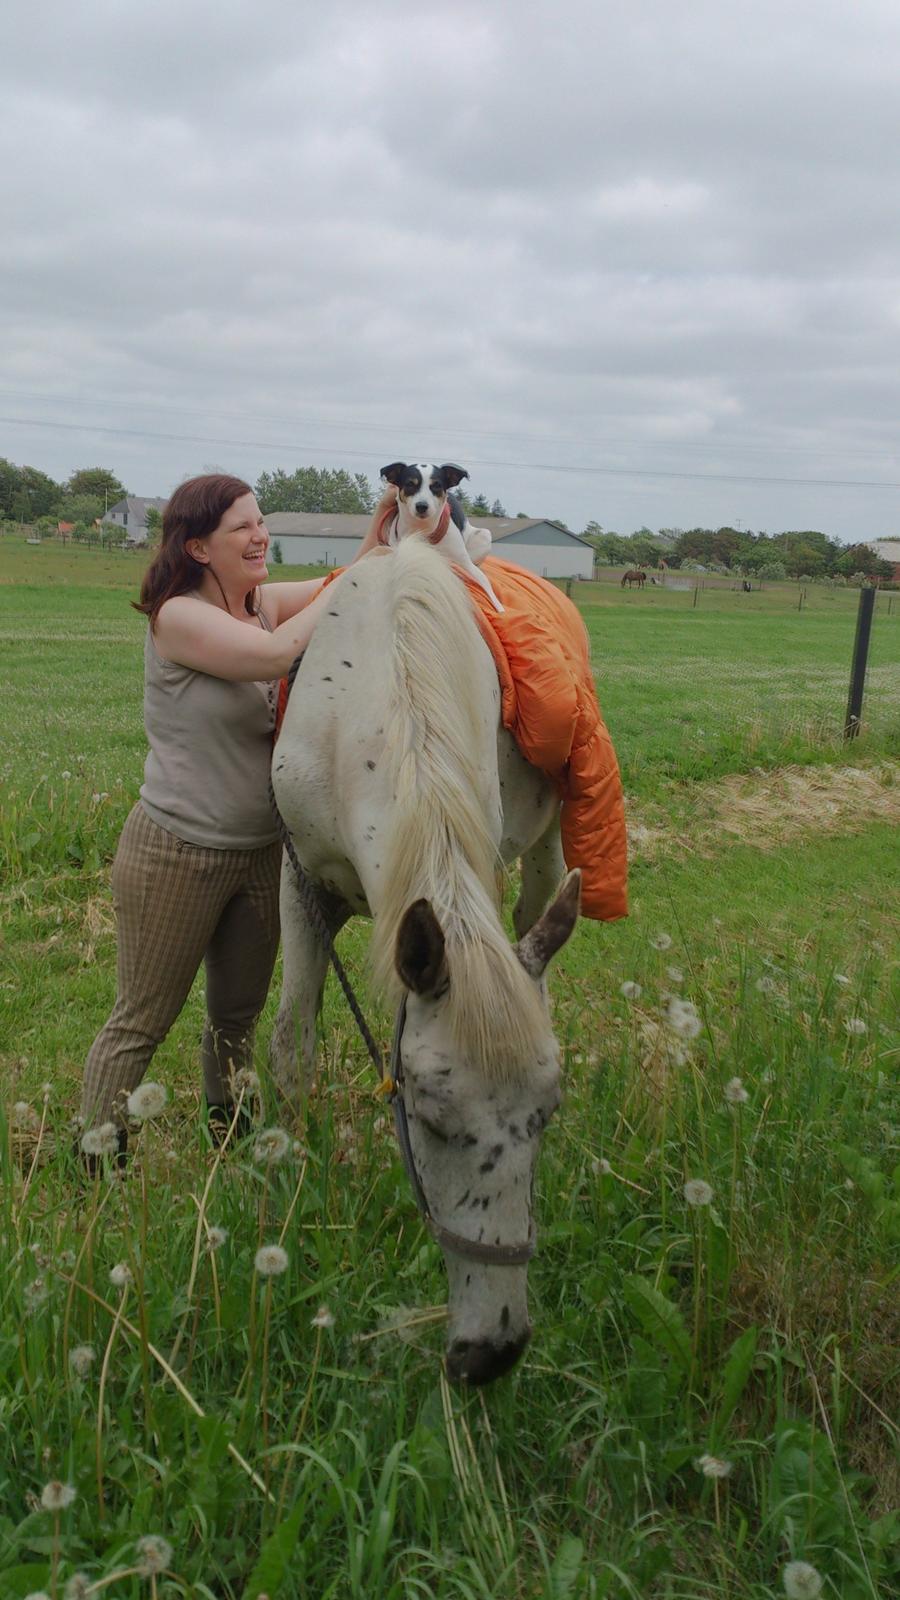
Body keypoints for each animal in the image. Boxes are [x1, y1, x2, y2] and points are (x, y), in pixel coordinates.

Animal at [376, 467, 506, 614]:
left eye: (436, 485)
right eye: (410, 484)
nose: (422, 506)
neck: (424, 531)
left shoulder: (466, 564)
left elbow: (484, 583)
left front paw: (500, 609)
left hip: (483, 536)